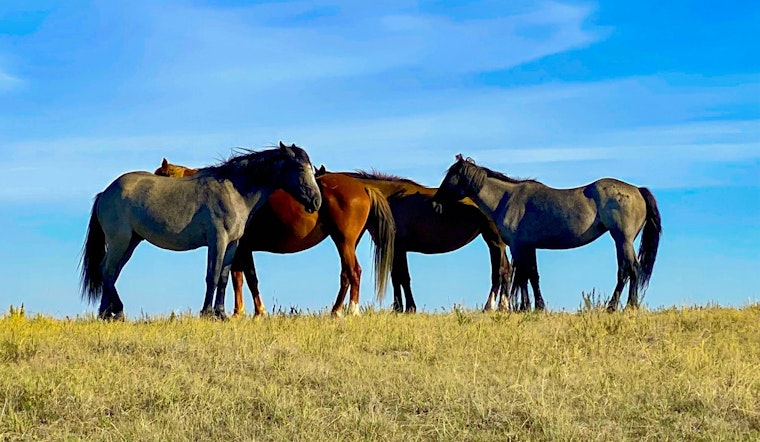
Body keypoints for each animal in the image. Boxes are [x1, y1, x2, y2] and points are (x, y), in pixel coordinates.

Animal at [80, 142, 322, 320]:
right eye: (300, 168)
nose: (316, 202)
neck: (234, 191)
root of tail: (105, 192)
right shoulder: (218, 240)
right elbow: (212, 276)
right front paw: (207, 313)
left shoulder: (232, 244)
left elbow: (223, 277)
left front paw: (221, 313)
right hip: (120, 241)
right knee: (107, 270)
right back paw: (117, 311)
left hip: (131, 241)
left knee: (111, 271)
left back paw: (106, 313)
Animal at [154, 161, 396, 317]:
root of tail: (363, 187)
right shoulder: (241, 250)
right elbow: (241, 278)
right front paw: (243, 312)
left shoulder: (241, 248)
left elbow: (246, 278)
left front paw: (250, 313)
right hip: (348, 243)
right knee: (349, 273)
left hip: (343, 241)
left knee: (351, 272)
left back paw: (345, 311)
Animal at [338, 170, 512, 313]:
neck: (388, 198)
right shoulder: (397, 250)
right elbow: (397, 277)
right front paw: (400, 308)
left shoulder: (398, 248)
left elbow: (402, 277)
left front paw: (407, 308)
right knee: (507, 270)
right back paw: (504, 306)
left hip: (494, 242)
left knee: (500, 271)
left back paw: (490, 307)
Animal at [433, 155, 662, 312]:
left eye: (451, 176)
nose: (435, 202)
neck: (506, 198)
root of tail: (637, 190)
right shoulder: (529, 247)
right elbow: (532, 275)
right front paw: (537, 306)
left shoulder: (518, 246)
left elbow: (523, 275)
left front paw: (525, 307)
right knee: (629, 270)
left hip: (622, 239)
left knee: (629, 269)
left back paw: (620, 306)